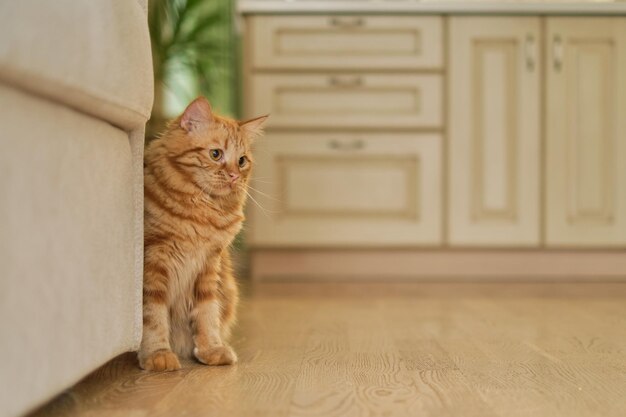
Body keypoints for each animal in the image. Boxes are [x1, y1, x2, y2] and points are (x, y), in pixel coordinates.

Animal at [139, 97, 266, 370]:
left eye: (242, 160)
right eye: (215, 154)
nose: (234, 176)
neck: (201, 213)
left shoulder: (208, 265)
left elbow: (207, 313)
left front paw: (211, 349)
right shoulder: (152, 260)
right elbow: (153, 315)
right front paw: (157, 355)